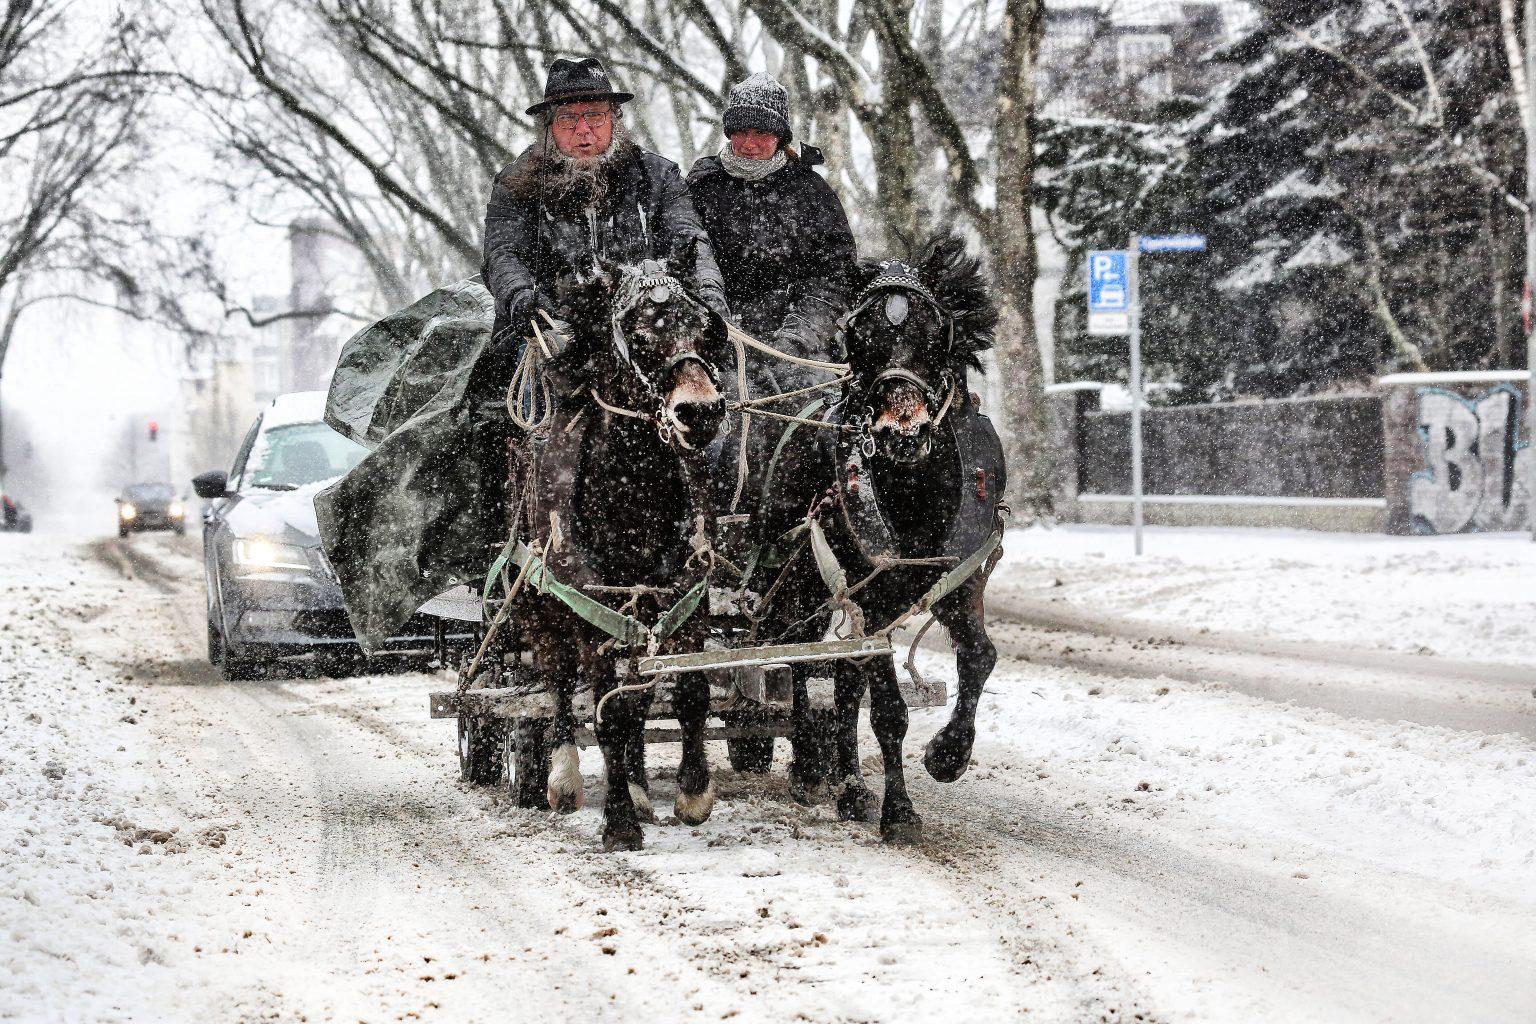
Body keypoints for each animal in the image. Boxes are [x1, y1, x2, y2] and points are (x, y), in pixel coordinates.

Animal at [500, 260, 721, 853]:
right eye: (640, 337)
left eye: (703, 329)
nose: (701, 411)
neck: (633, 496)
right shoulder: (592, 612)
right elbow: (608, 713)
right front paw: (619, 821)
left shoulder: (686, 599)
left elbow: (689, 691)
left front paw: (693, 794)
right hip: (542, 610)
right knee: (557, 683)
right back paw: (563, 777)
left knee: (638, 695)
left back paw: (643, 788)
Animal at [755, 236, 1007, 847]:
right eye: (861, 337)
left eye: (934, 332)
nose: (903, 432)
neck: (913, 492)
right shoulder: (867, 594)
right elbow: (889, 710)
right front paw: (899, 811)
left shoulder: (959, 580)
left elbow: (979, 657)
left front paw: (948, 754)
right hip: (800, 585)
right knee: (796, 657)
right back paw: (810, 768)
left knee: (843, 676)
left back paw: (848, 787)